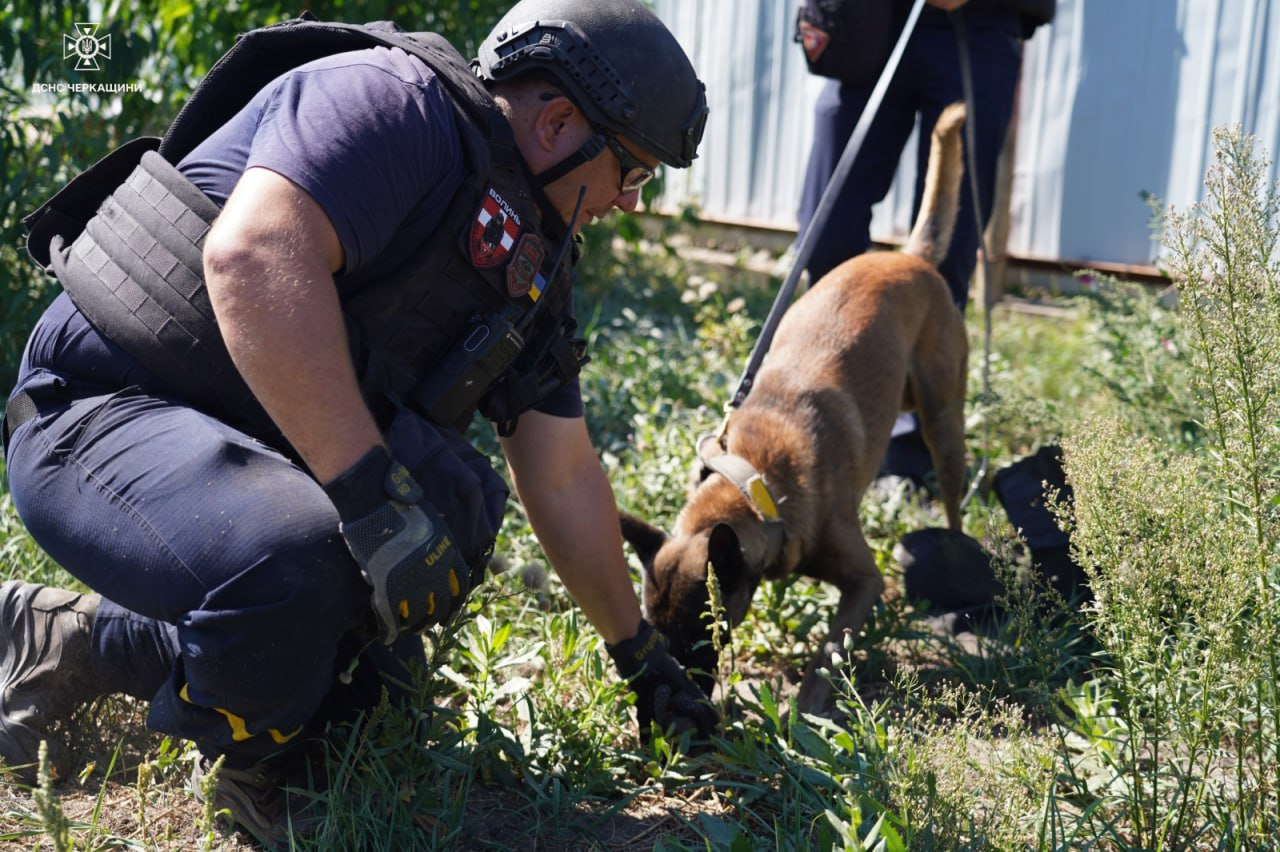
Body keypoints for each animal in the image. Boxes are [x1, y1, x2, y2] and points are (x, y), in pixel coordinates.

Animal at [619, 101, 967, 711]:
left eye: (703, 638)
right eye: (658, 636)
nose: (684, 695)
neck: (756, 479)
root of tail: (908, 258)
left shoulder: (863, 582)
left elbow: (827, 657)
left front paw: (804, 718)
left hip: (941, 420)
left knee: (952, 491)